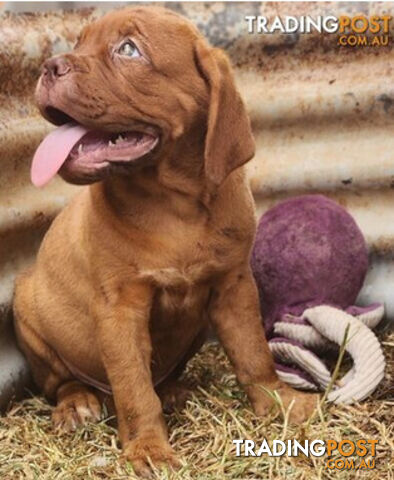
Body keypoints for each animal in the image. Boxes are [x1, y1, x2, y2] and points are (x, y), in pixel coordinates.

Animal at [13, 6, 318, 476]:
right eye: (79, 41)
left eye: (128, 50)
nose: (49, 67)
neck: (173, 206)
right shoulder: (120, 310)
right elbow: (134, 389)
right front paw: (149, 449)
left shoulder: (234, 285)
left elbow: (253, 353)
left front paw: (280, 403)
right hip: (27, 308)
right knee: (60, 381)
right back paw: (77, 403)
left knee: (162, 377)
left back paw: (174, 389)